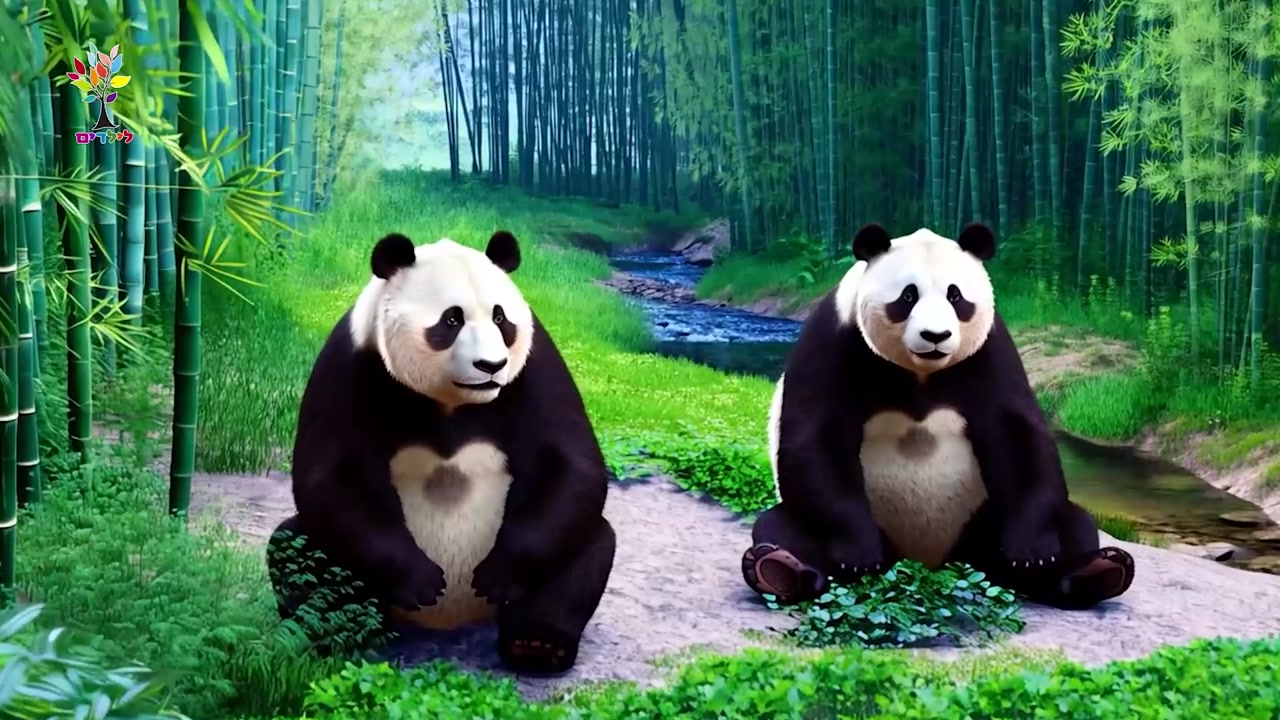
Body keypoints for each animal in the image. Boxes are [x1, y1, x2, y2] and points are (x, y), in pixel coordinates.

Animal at [266, 230, 616, 676]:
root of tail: (452, 619)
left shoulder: (535, 364)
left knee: (586, 547)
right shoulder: (352, 363)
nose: (491, 365)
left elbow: (572, 462)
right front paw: (419, 580)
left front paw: (498, 574)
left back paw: (537, 644)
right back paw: (342, 631)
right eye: (451, 320)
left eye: (501, 319)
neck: (453, 399)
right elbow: (327, 475)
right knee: (298, 551)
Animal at [743, 222, 1135, 611]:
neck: (922, 371)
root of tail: (931, 560)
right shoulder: (834, 341)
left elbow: (1017, 432)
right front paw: (859, 553)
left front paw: (1031, 552)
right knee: (782, 528)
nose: (936, 336)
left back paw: (1092, 574)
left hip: (982, 519)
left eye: (956, 297)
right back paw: (781, 570)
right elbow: (814, 438)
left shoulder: (990, 348)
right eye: (907, 297)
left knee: (1076, 523)